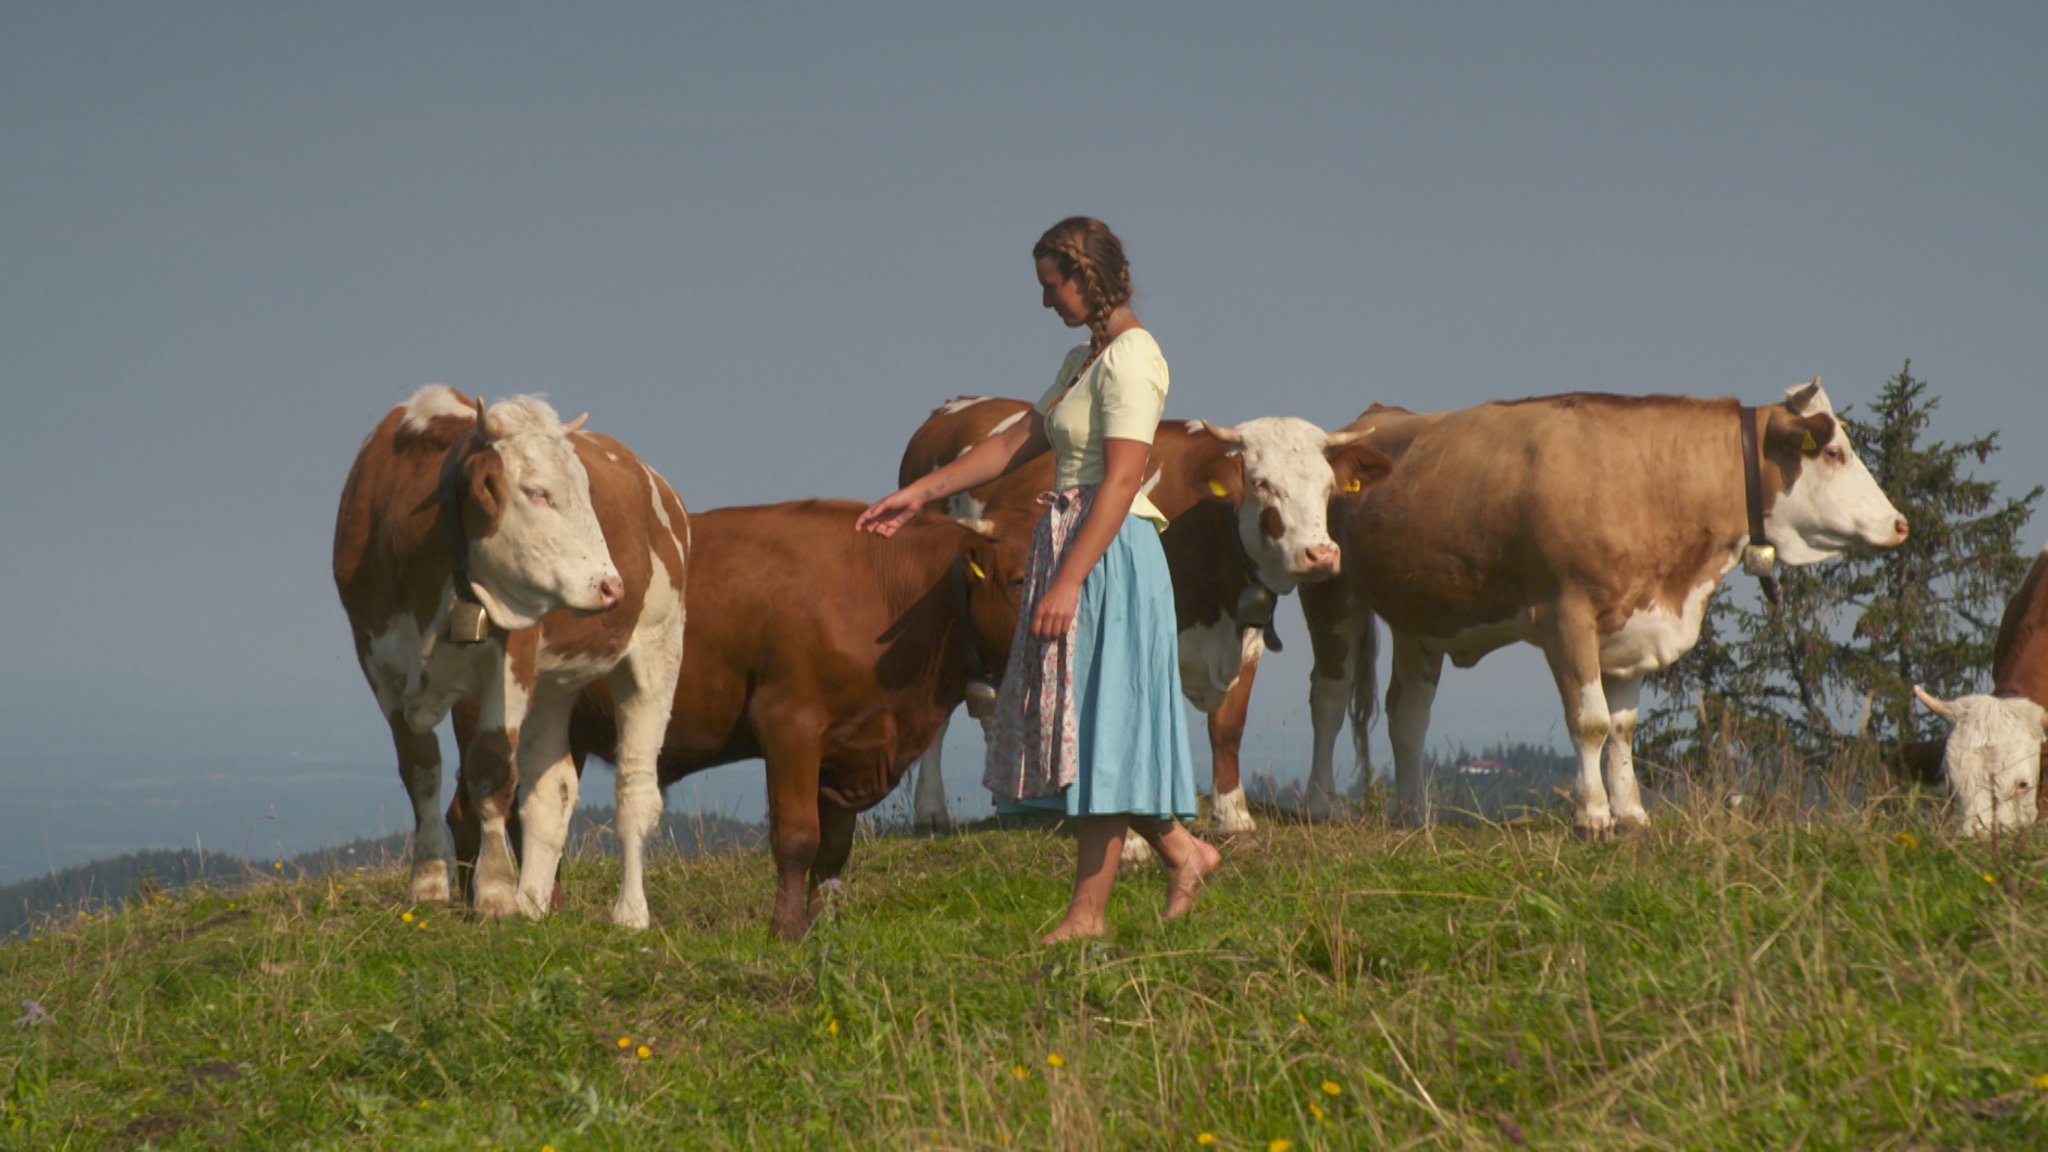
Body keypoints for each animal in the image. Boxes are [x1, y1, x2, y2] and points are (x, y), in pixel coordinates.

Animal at [331, 385, 692, 922]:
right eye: (536, 491)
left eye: (587, 492)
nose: (610, 585)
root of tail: (660, 485)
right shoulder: (377, 663)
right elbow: (419, 768)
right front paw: (429, 882)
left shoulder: (507, 662)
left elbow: (490, 770)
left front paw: (495, 892)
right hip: (553, 684)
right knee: (551, 792)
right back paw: (534, 904)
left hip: (656, 651)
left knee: (635, 791)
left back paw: (629, 914)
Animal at [888, 399, 1384, 840]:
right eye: (1262, 483)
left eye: (1327, 488)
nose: (1320, 555)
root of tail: (954, 408)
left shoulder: (1247, 637)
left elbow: (1228, 726)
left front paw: (1233, 814)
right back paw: (931, 811)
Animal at [1294, 381, 1916, 828]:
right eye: (1833, 451)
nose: (1899, 524)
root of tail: (1365, 421)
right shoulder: (1566, 615)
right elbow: (1590, 721)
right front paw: (1592, 814)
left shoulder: (1634, 626)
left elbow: (1623, 729)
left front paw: (1632, 812)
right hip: (1328, 590)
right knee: (1328, 698)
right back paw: (1319, 804)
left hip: (1422, 616)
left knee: (1408, 712)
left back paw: (1412, 814)